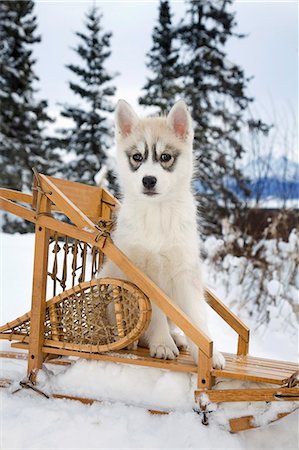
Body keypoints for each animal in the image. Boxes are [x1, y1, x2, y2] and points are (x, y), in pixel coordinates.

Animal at [99, 99, 226, 370]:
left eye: (165, 157)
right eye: (137, 157)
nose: (148, 180)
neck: (157, 214)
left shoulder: (186, 271)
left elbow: (196, 317)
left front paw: (209, 354)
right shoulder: (143, 275)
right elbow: (155, 314)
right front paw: (162, 344)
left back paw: (177, 338)